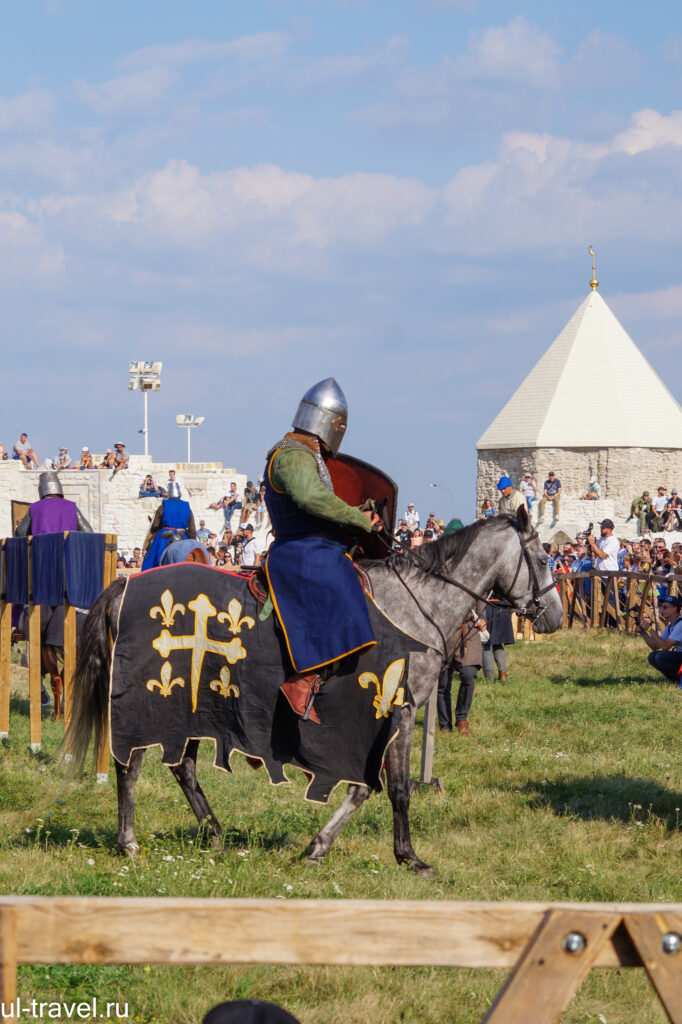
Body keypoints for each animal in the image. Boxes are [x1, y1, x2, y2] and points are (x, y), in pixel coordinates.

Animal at [66, 507, 561, 876]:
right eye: (541, 559)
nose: (553, 616)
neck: (415, 606)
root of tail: (124, 586)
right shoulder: (396, 713)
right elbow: (392, 788)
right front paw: (404, 856)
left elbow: (368, 788)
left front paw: (330, 847)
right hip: (153, 701)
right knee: (130, 765)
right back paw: (129, 843)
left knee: (182, 768)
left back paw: (215, 834)